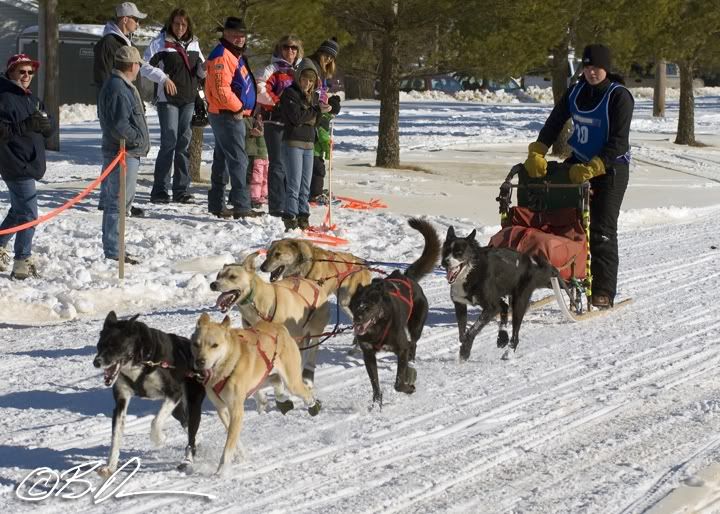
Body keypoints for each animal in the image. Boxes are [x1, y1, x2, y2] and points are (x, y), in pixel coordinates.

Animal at [93, 310, 205, 474]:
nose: (96, 362)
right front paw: (110, 466)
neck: (141, 360)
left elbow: (155, 422)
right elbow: (116, 436)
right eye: (99, 345)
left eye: (114, 346)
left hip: (192, 404)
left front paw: (159, 439)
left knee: (191, 435)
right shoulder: (121, 402)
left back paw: (188, 461)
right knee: (188, 426)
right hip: (177, 410)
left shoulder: (174, 393)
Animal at [193, 314, 320, 474]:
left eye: (214, 345)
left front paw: (222, 470)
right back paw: (278, 398)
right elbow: (233, 437)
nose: (199, 361)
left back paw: (312, 405)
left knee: (305, 393)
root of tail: (279, 327)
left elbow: (229, 444)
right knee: (275, 381)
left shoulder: (236, 410)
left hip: (292, 383)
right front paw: (242, 455)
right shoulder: (222, 410)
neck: (225, 368)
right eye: (196, 344)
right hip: (262, 377)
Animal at [348, 218, 438, 406]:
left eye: (368, 307)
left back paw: (411, 364)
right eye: (355, 305)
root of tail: (408, 278)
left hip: (416, 326)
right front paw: (377, 403)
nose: (357, 320)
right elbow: (375, 382)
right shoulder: (369, 354)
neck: (378, 328)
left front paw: (408, 388)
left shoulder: (401, 349)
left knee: (413, 344)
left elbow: (398, 382)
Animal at [442, 224, 560, 360]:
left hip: (518, 303)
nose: (444, 261)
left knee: (515, 331)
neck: (472, 271)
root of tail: (532, 264)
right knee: (504, 307)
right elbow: (462, 333)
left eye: (459, 252)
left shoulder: (491, 308)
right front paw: (464, 346)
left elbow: (472, 330)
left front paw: (465, 351)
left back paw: (509, 351)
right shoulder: (460, 305)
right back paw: (502, 337)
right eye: (445, 251)